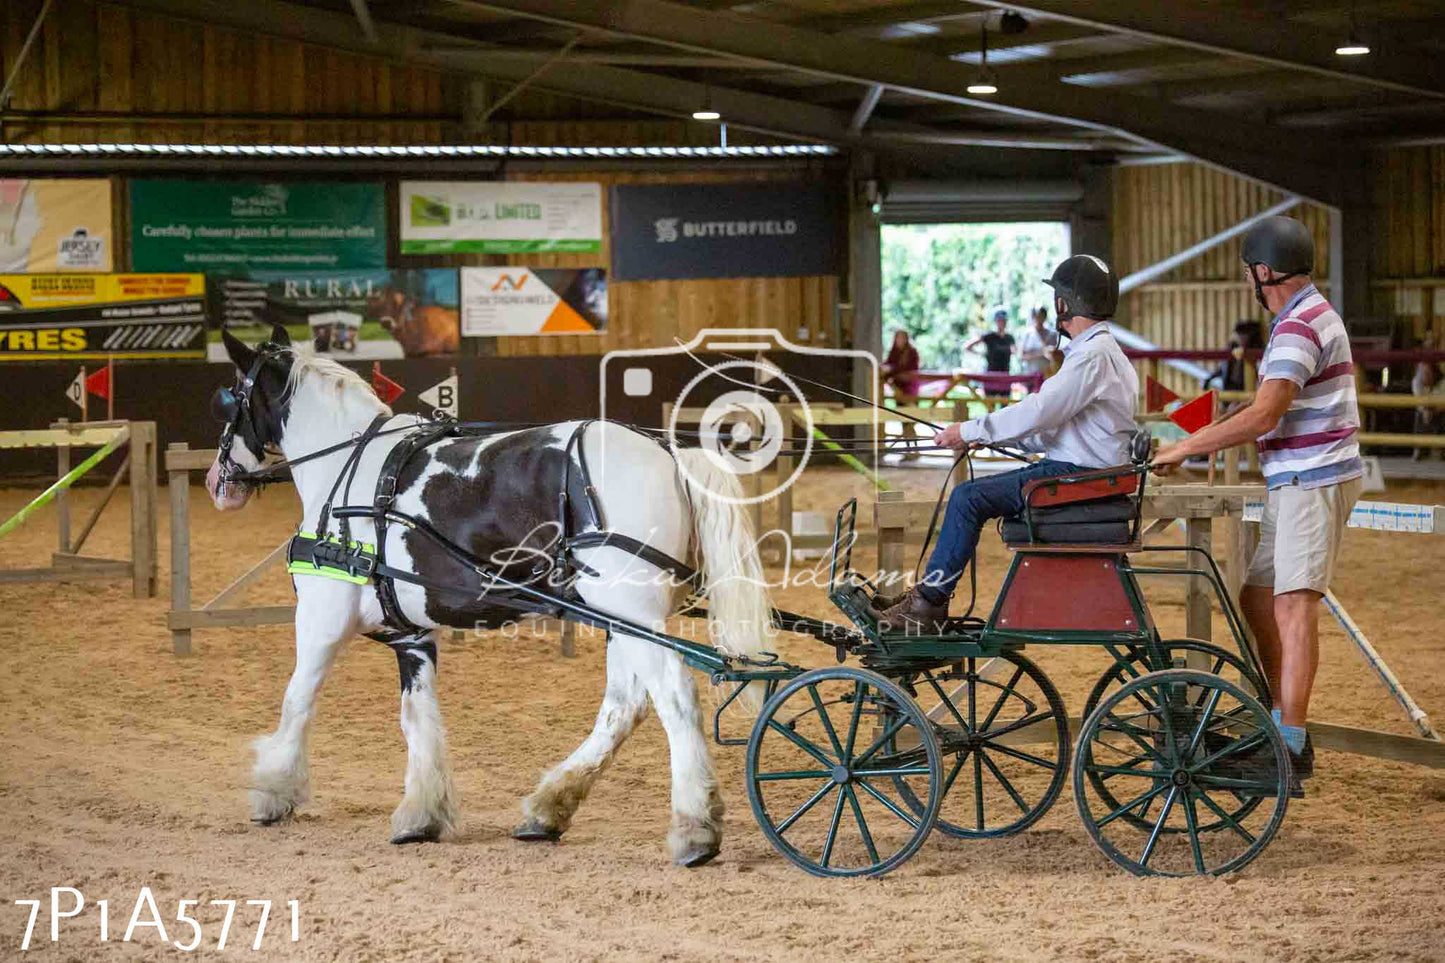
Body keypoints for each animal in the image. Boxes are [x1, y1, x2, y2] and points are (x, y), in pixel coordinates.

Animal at [206, 326, 768, 867]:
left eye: (229, 397)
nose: (216, 481)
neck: (346, 471)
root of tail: (669, 453)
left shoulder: (320, 621)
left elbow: (296, 699)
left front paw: (273, 791)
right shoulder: (411, 636)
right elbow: (417, 719)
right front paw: (421, 815)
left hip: (632, 613)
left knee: (675, 698)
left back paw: (694, 828)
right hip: (620, 617)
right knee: (625, 705)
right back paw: (549, 808)